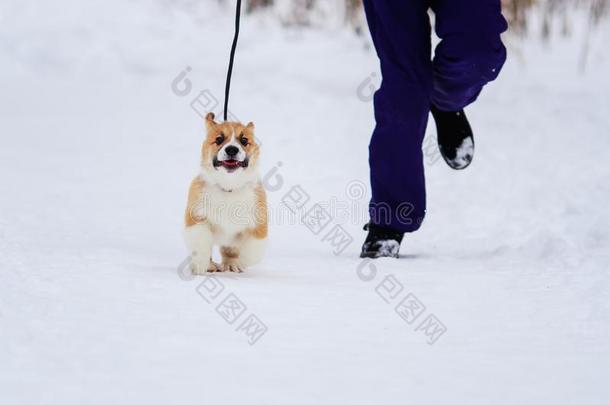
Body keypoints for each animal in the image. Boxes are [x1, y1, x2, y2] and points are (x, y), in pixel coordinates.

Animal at [182, 112, 264, 274]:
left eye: (244, 140)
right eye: (219, 139)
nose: (232, 149)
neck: (229, 187)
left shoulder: (258, 224)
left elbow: (252, 251)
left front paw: (241, 262)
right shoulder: (197, 218)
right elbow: (201, 244)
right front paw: (200, 265)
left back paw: (232, 264)